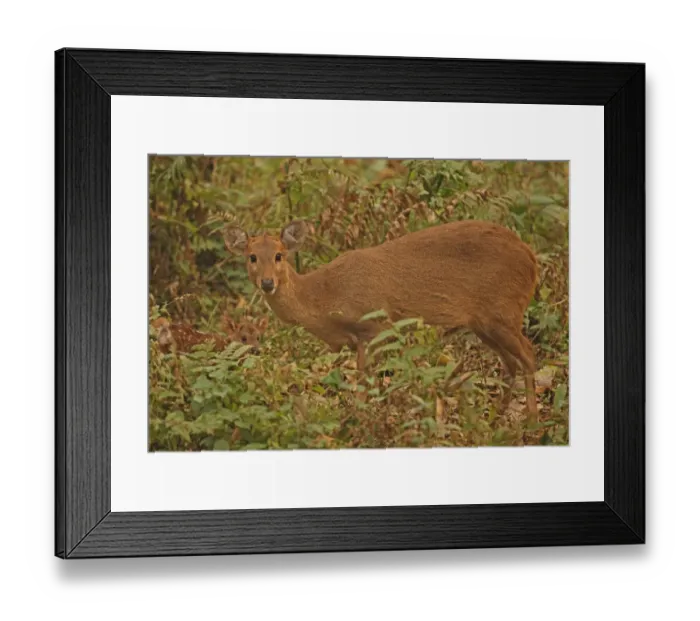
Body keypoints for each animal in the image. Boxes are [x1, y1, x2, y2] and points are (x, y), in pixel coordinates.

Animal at [222, 219, 539, 419]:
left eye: (279, 255)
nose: (267, 283)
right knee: (510, 363)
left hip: (503, 310)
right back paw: (496, 419)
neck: (325, 298)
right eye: (252, 257)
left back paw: (531, 422)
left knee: (528, 355)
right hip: (484, 322)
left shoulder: (373, 327)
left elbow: (364, 386)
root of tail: (531, 257)